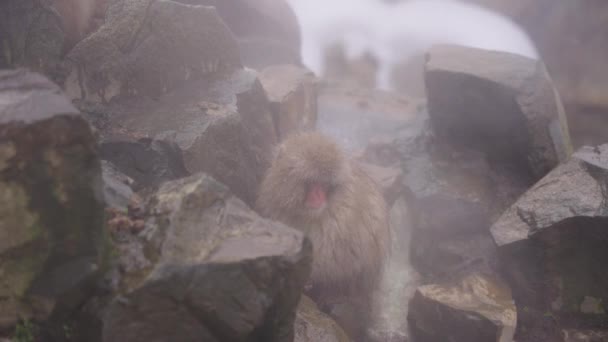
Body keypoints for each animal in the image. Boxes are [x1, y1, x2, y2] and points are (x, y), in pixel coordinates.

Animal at [255, 131, 390, 318]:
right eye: (313, 182)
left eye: (325, 185)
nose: (319, 197)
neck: (306, 213)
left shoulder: (342, 218)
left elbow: (336, 258)